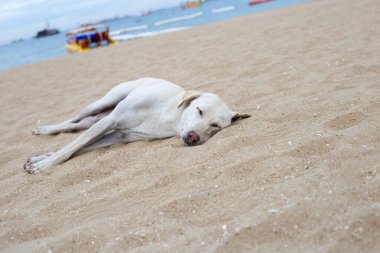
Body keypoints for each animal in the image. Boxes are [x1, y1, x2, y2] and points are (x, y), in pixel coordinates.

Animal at [23, 78, 249, 174]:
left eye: (215, 126)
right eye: (199, 110)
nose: (194, 137)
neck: (170, 116)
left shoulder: (118, 136)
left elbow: (78, 148)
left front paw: (41, 159)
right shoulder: (111, 121)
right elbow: (71, 148)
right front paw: (44, 165)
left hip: (99, 118)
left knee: (79, 126)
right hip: (103, 103)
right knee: (74, 120)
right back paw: (45, 129)